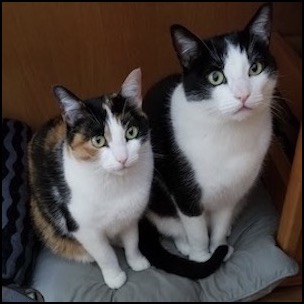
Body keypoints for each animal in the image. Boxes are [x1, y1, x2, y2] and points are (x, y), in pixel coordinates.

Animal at [28, 69, 153, 290]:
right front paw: (115, 278)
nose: (123, 158)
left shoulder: (130, 215)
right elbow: (105, 255)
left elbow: (133, 241)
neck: (115, 184)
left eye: (131, 132)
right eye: (98, 140)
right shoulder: (85, 229)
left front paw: (137, 261)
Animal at [140, 3, 278, 268]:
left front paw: (219, 247)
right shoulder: (186, 195)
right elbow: (196, 232)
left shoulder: (232, 193)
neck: (230, 133)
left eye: (255, 69)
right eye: (216, 77)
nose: (243, 95)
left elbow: (220, 224)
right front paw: (203, 257)